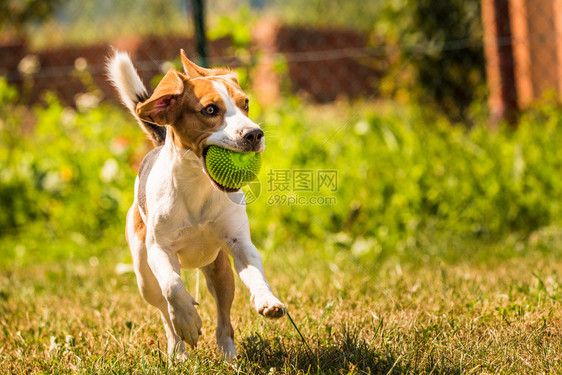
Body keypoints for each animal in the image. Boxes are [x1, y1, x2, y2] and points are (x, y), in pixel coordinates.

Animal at [106, 48, 284, 360]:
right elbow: (173, 287)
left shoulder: (239, 244)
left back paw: (229, 356)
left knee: (224, 317)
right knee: (165, 310)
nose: (254, 134)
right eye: (210, 110)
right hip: (144, 277)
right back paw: (177, 350)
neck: (200, 186)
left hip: (219, 270)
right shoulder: (159, 250)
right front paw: (188, 322)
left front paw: (267, 300)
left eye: (246, 104)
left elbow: (256, 272)